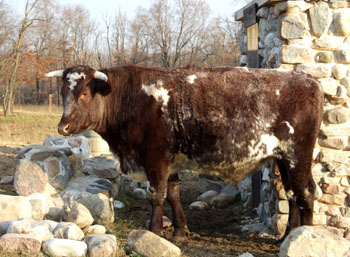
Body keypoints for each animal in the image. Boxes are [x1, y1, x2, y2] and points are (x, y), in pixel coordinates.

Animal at [45, 63, 324, 238]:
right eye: (63, 92)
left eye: (83, 94)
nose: (62, 126)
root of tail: (307, 79)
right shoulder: (171, 162)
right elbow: (174, 194)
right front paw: (179, 230)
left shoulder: (155, 158)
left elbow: (157, 196)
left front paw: (154, 230)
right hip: (283, 159)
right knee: (292, 194)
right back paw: (287, 236)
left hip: (297, 155)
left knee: (306, 192)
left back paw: (304, 237)